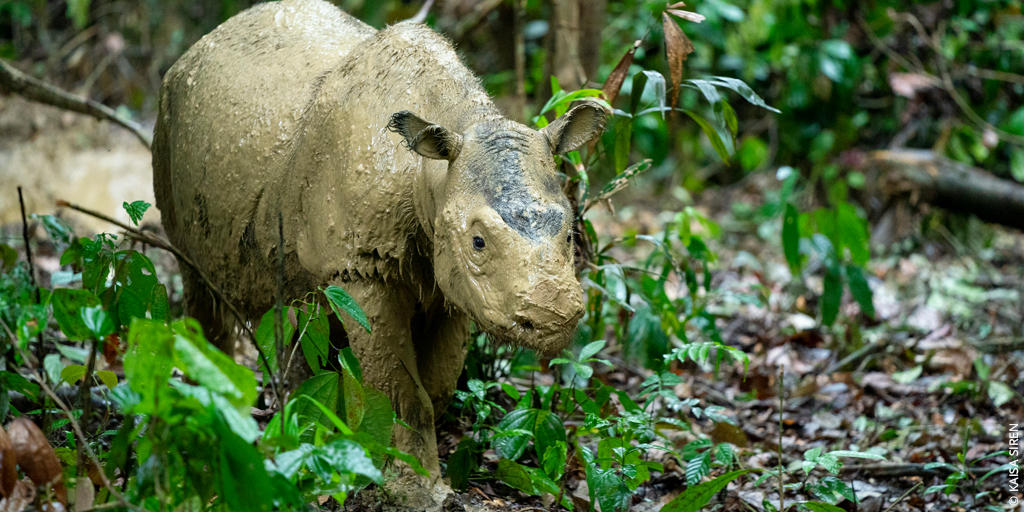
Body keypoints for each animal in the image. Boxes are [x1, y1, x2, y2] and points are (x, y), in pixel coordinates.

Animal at [152, 0, 606, 487]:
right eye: (478, 242)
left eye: (571, 233)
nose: (554, 318)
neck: (432, 174)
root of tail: (198, 47)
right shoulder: (361, 268)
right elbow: (399, 389)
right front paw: (413, 488)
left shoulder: (452, 280)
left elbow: (438, 382)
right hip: (170, 115)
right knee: (196, 277)